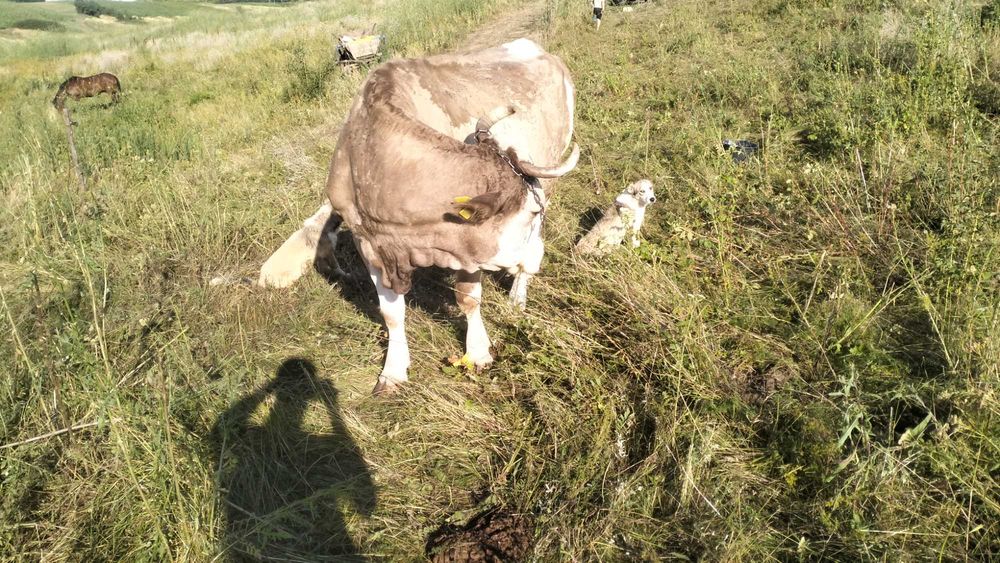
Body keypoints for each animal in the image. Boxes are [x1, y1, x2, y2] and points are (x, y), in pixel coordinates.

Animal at [257, 38, 578, 394]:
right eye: (531, 211)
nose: (539, 260)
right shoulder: (368, 242)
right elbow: (391, 313)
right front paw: (393, 371)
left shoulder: (463, 248)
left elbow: (468, 298)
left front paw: (477, 352)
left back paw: (517, 298)